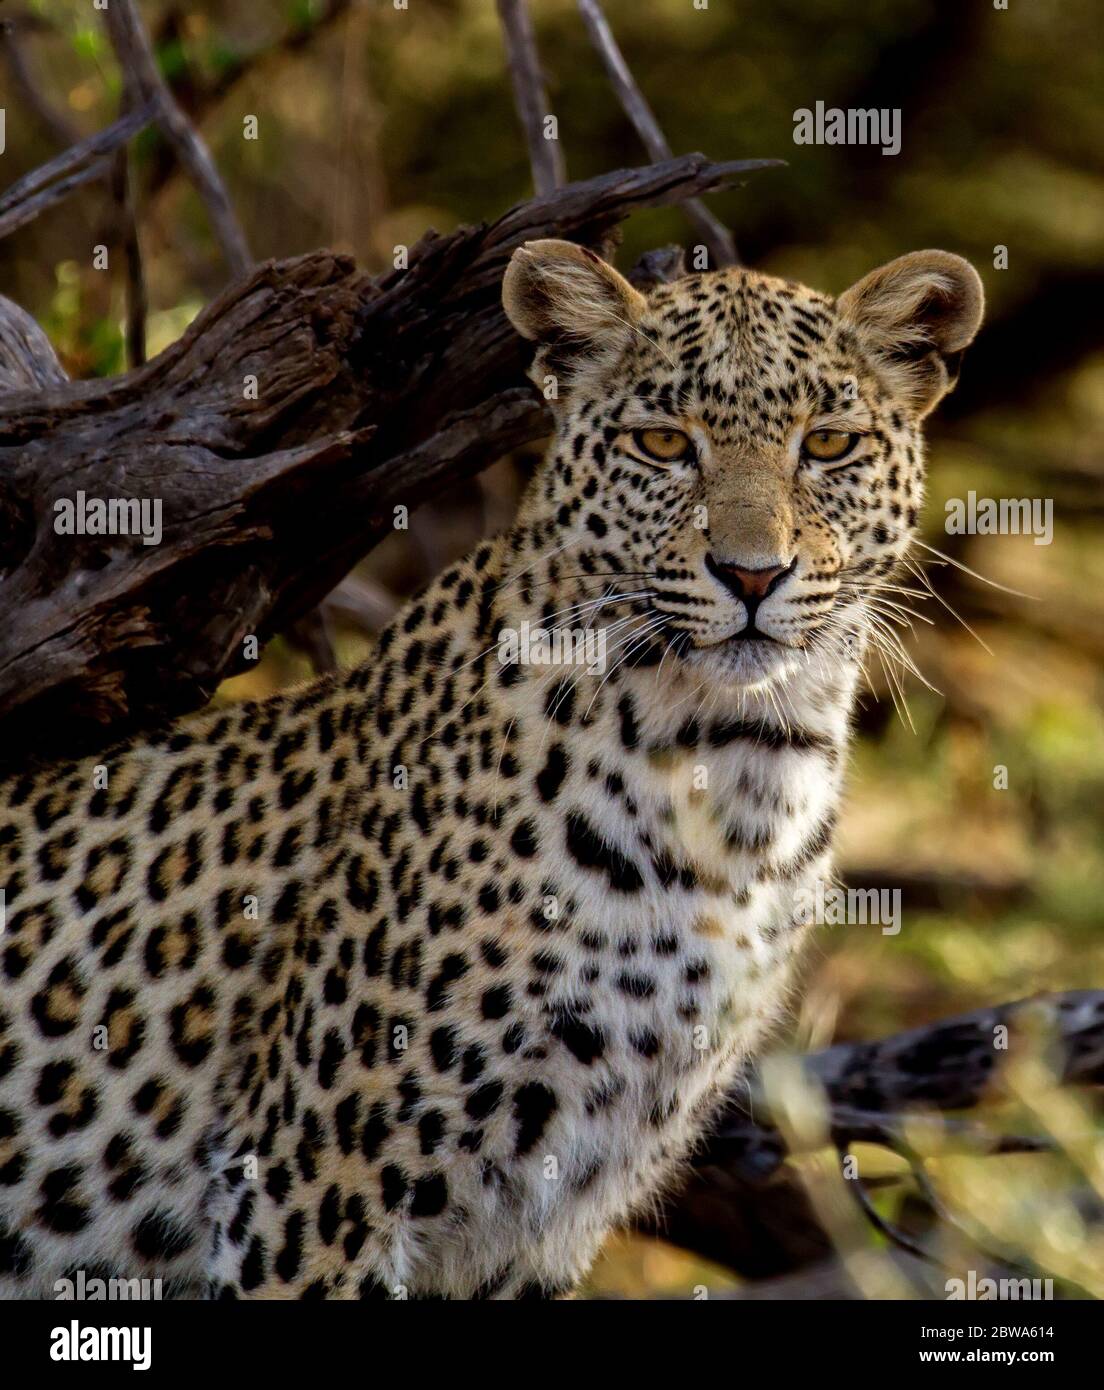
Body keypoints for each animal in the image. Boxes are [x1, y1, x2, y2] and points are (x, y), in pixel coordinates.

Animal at [0, 233, 978, 1295]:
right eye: (663, 445)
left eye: (829, 446)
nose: (752, 575)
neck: (739, 774)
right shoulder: (315, 1185)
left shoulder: (549, 1213)